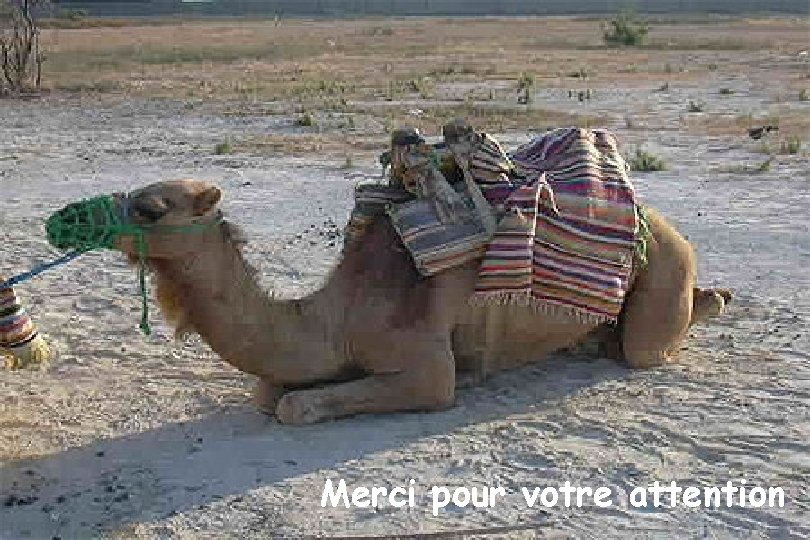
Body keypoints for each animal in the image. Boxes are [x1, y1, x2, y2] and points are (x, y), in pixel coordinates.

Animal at [111, 179, 730, 425]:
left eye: (150, 208)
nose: (93, 218)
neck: (337, 316)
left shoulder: (427, 368)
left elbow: (293, 406)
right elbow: (269, 394)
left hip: (667, 262)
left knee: (647, 346)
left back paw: (714, 299)